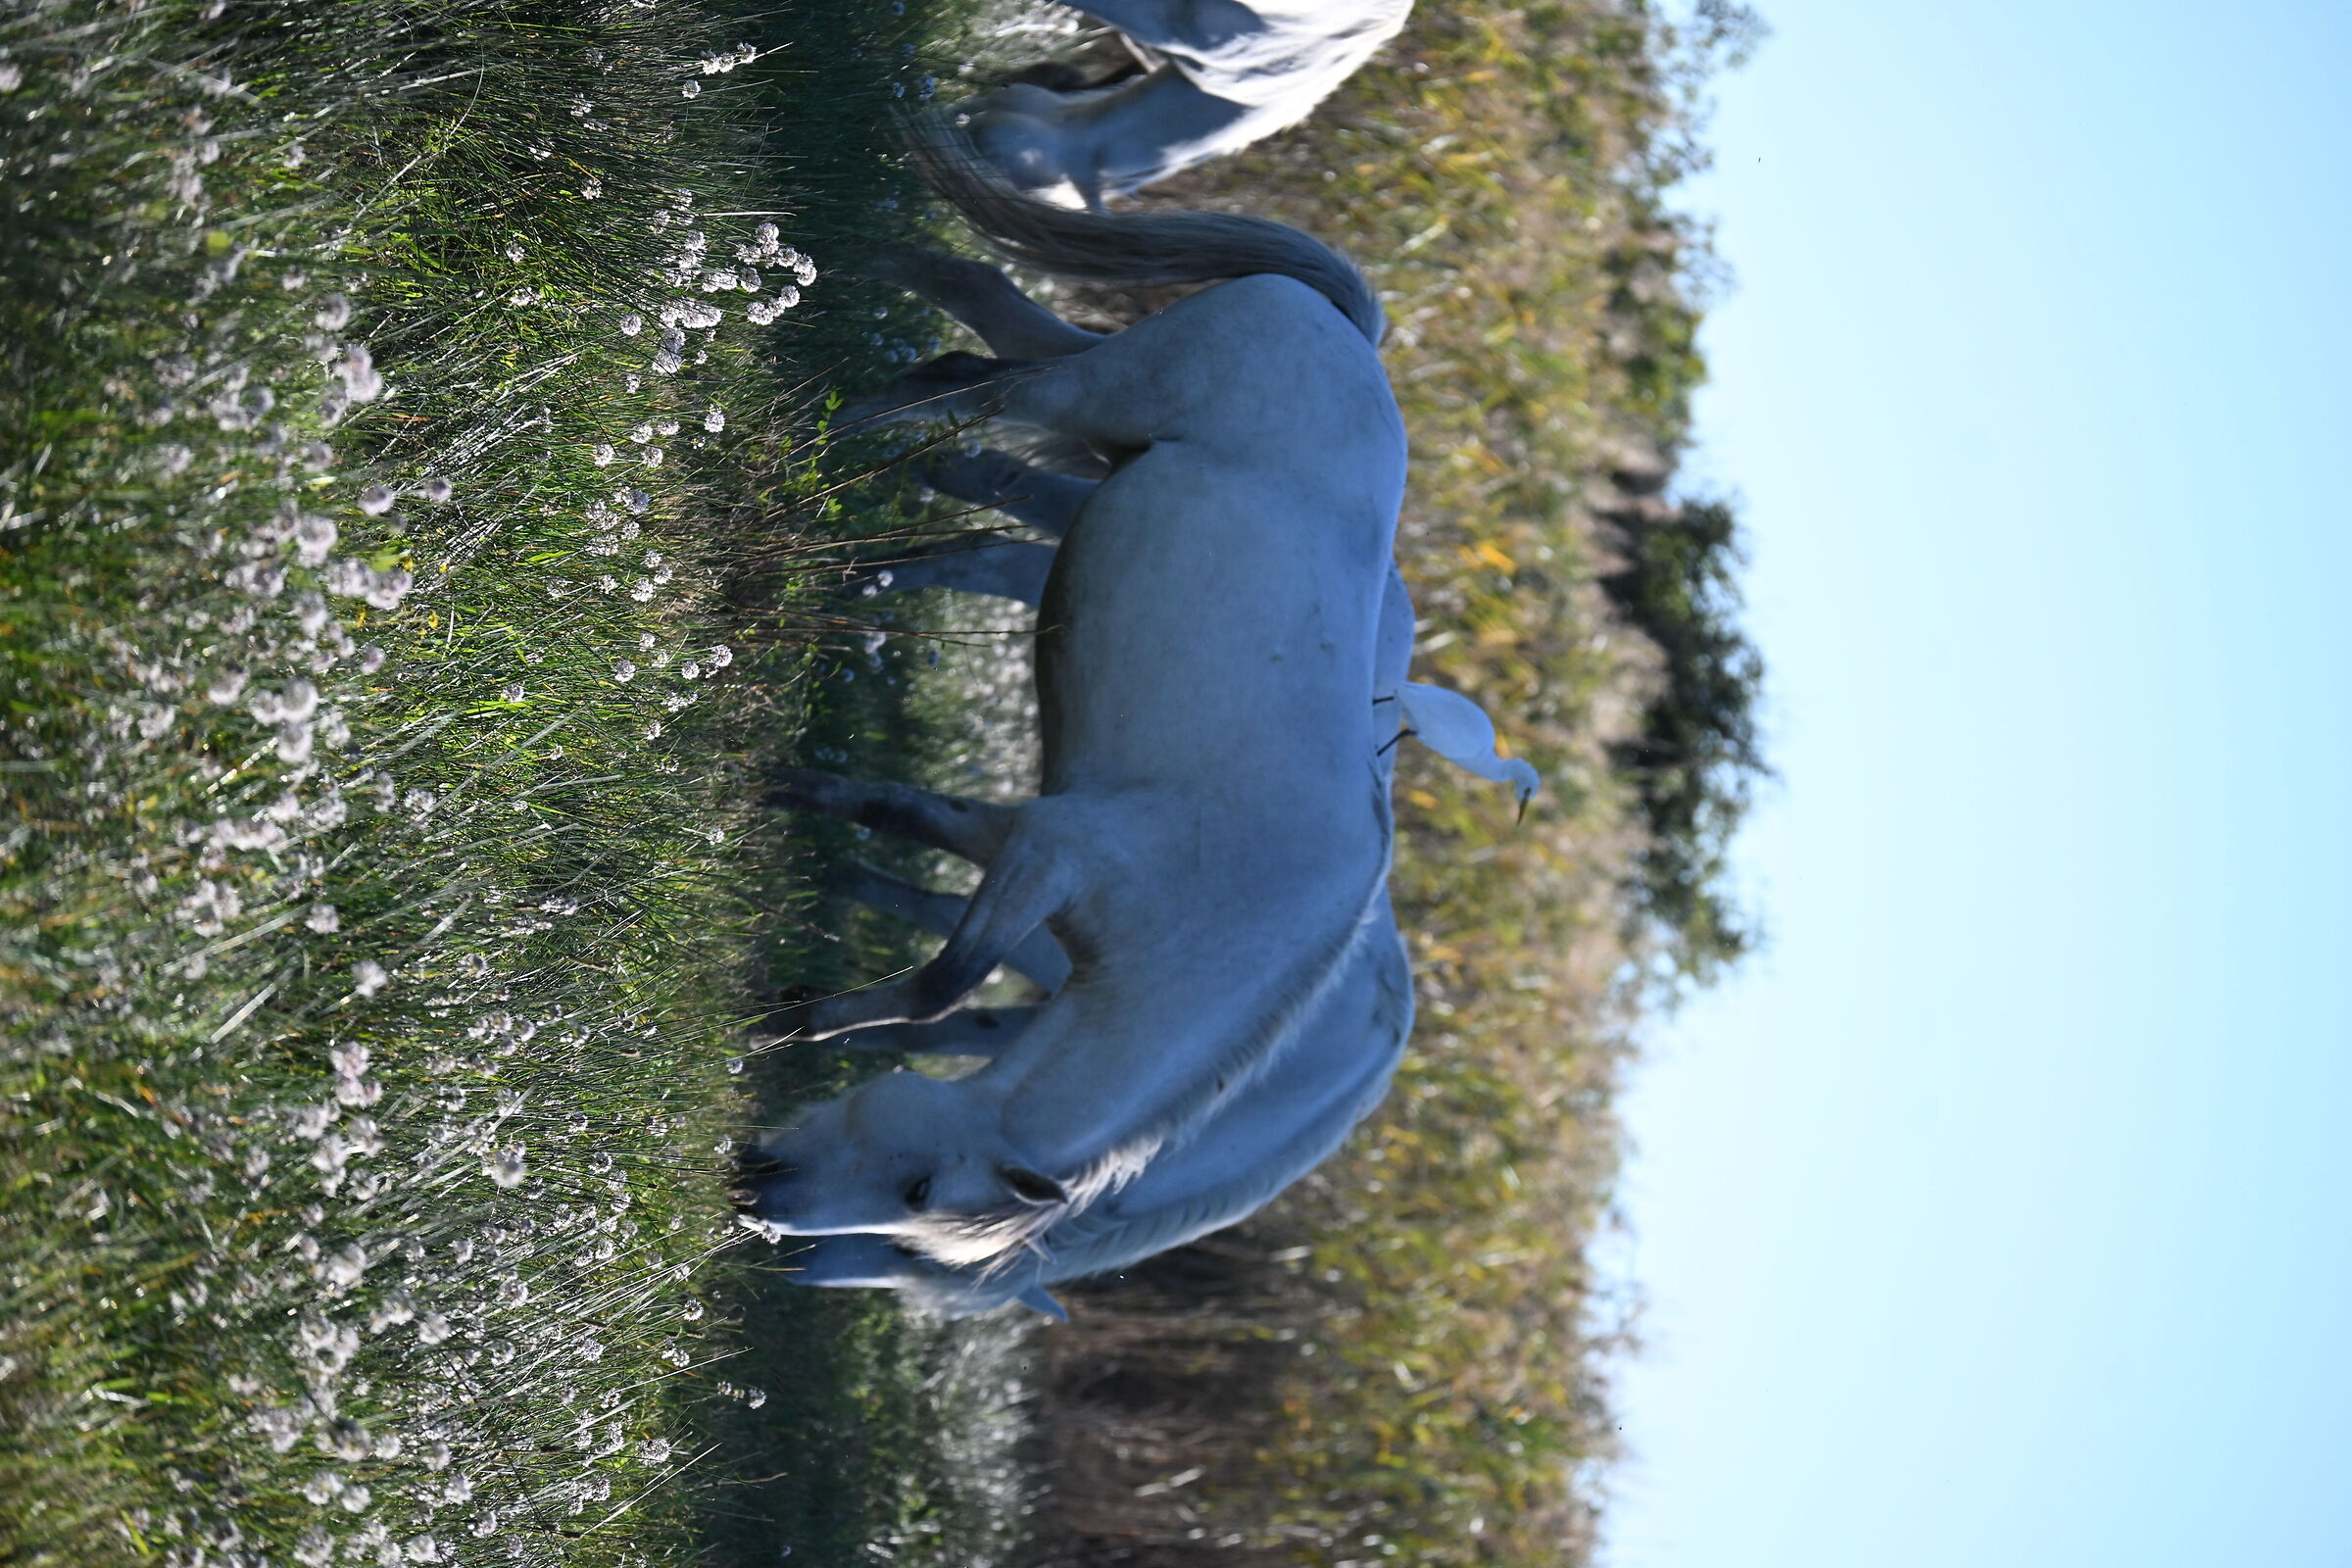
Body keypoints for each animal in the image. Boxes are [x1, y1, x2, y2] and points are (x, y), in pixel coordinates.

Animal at [737, 131, 1406, 1273]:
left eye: (915, 1196)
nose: (759, 1194)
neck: (1230, 924)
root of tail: (1348, 333)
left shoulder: (1019, 834)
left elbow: (895, 827)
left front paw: (791, 978)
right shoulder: (1053, 856)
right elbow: (945, 983)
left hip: (1090, 415)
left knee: (975, 317)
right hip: (1087, 397)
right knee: (967, 384)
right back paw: (801, 441)